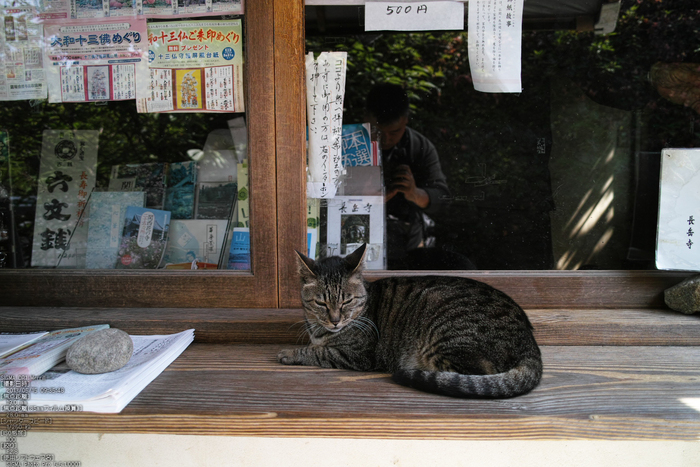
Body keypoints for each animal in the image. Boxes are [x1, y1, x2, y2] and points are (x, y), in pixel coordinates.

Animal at [278, 245, 540, 398]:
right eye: (321, 303)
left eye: (347, 301)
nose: (335, 320)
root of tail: (529, 341)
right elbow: (317, 347)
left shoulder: (357, 355)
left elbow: (319, 352)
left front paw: (290, 353)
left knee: (474, 375)